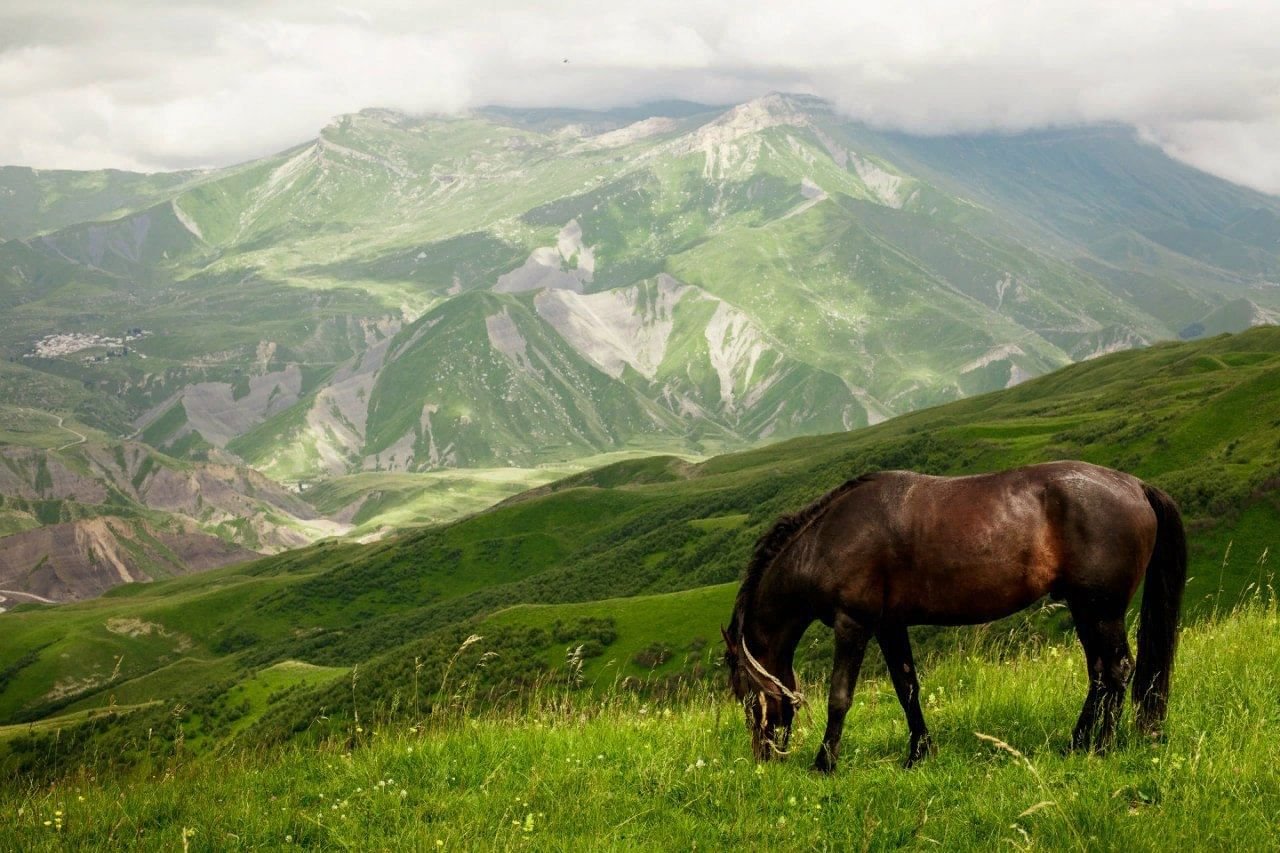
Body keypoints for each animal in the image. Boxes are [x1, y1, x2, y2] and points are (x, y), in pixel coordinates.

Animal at [727, 458, 1182, 768]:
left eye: (746, 696)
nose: (764, 757)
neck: (828, 540)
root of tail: (1136, 485)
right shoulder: (890, 625)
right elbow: (907, 688)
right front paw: (918, 754)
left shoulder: (853, 623)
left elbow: (840, 696)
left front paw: (824, 763)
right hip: (1085, 609)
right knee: (1100, 674)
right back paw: (1076, 743)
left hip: (1102, 611)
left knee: (1117, 670)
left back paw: (1101, 748)